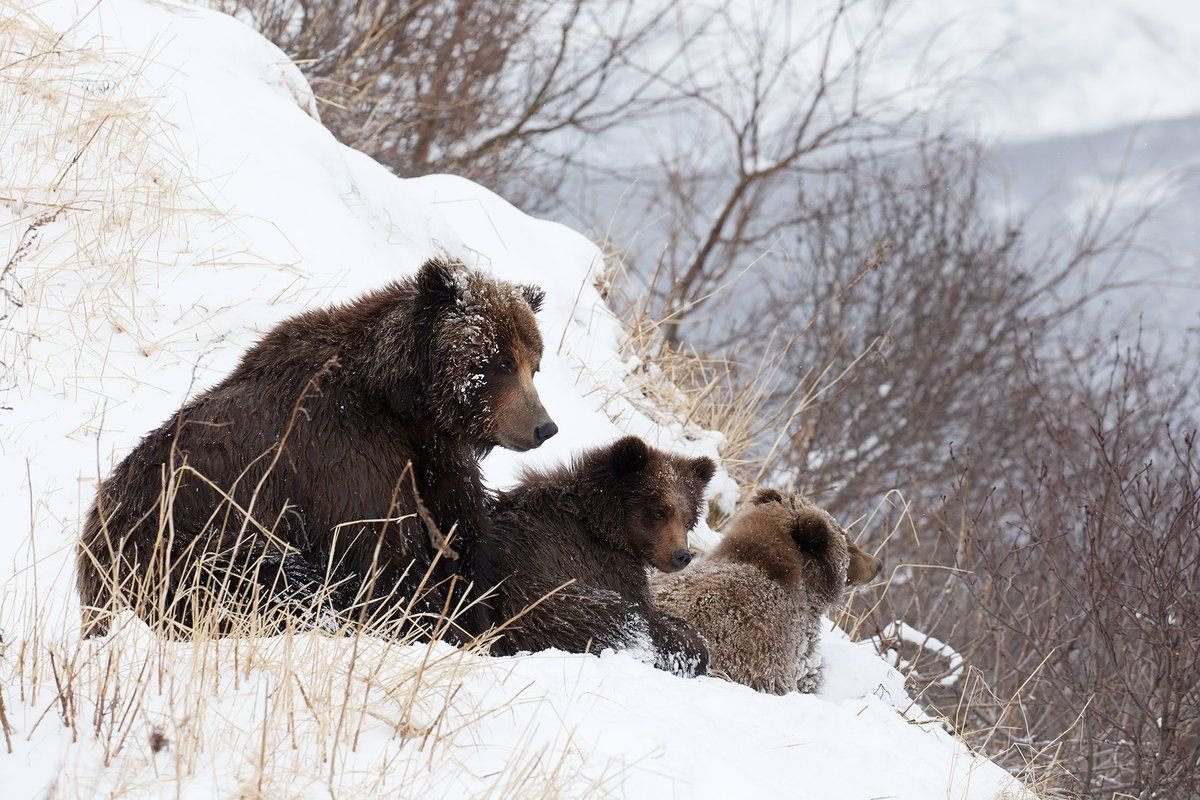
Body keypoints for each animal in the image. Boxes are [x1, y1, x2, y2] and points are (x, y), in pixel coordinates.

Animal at [77, 260, 554, 642]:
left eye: (534, 364)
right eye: (501, 362)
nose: (544, 427)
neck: (403, 404)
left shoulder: (434, 460)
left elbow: (463, 537)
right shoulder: (342, 459)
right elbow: (384, 557)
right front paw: (428, 623)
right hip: (182, 546)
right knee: (270, 580)